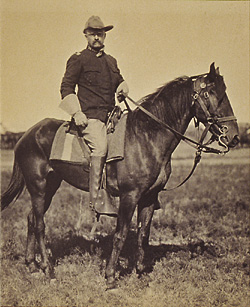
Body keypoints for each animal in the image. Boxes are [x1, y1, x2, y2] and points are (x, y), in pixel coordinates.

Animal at [1, 63, 238, 290]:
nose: (234, 136)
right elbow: (121, 234)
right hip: (38, 186)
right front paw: (110, 278)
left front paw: (141, 273)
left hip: (50, 186)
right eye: (212, 93)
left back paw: (32, 265)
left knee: (32, 219)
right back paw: (48, 270)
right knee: (40, 224)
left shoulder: (149, 197)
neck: (146, 136)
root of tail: (25, 136)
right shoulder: (129, 196)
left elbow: (143, 235)